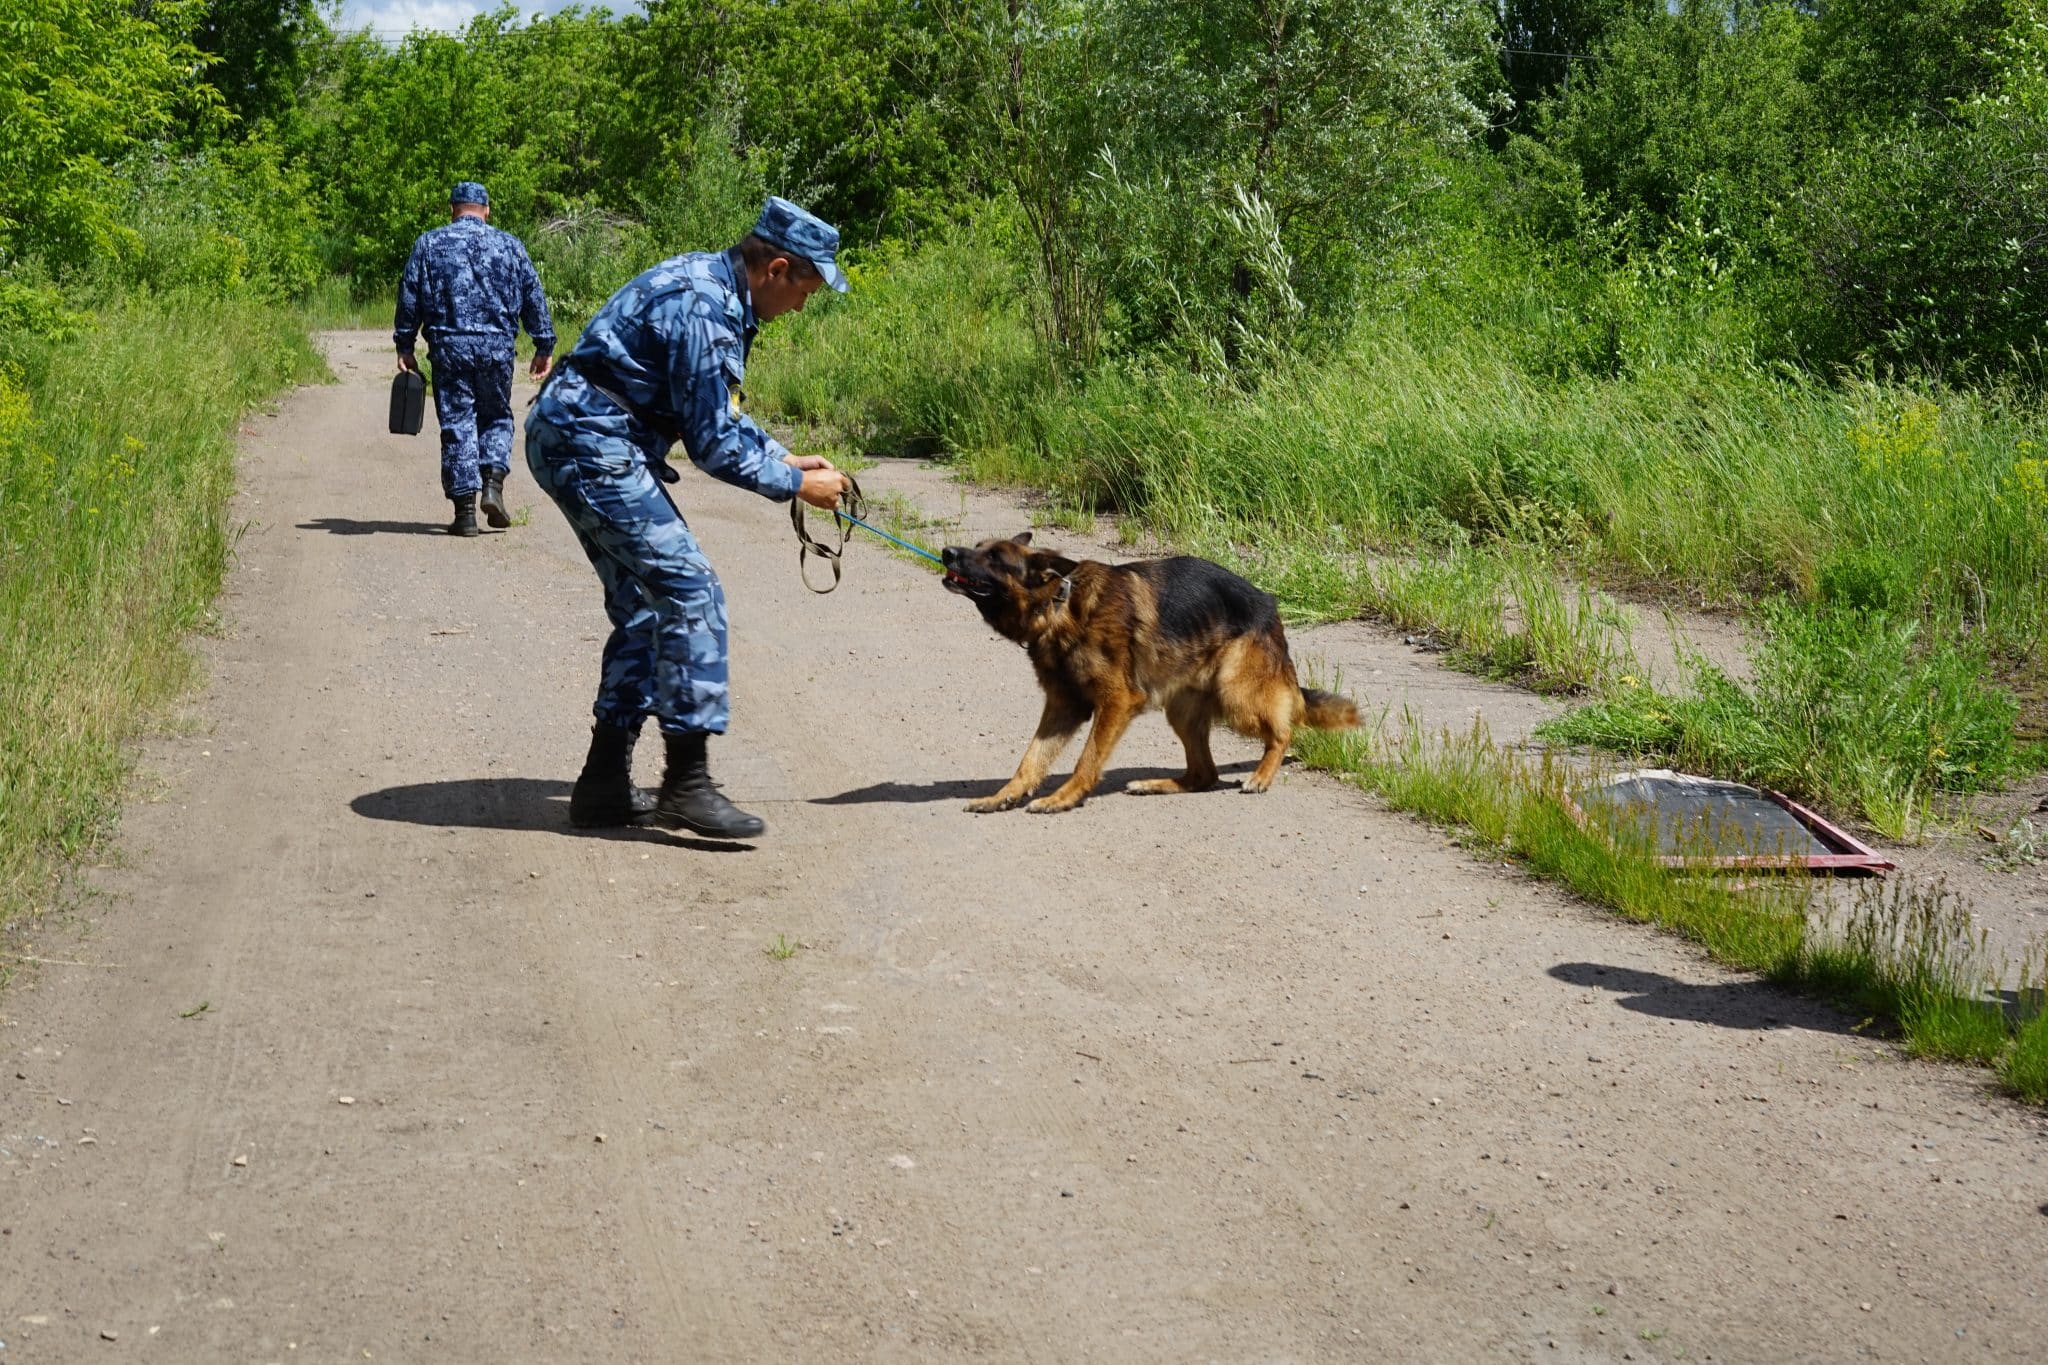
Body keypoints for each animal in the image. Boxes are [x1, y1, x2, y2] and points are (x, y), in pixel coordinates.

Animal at [937, 532, 1359, 810]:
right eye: (977, 547)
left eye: (995, 557)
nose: (946, 552)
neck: (1058, 606)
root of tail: (1270, 607)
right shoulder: (1063, 708)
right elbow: (1031, 760)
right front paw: (1002, 796)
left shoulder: (1116, 703)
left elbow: (1087, 759)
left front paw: (1063, 797)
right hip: (1183, 712)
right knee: (1204, 775)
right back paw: (1156, 784)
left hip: (1235, 691)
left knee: (1282, 732)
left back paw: (1261, 775)